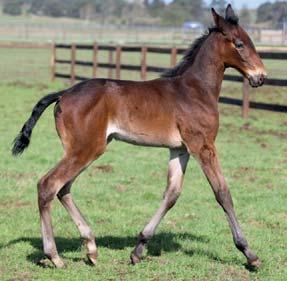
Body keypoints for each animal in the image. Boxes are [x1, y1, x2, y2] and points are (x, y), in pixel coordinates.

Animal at [12, 4, 266, 266]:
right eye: (239, 44)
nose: (261, 76)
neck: (195, 89)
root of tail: (64, 93)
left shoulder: (180, 149)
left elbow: (172, 194)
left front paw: (138, 249)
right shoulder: (202, 146)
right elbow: (222, 193)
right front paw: (249, 253)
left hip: (83, 149)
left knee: (63, 188)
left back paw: (91, 248)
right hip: (86, 149)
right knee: (48, 185)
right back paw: (54, 256)